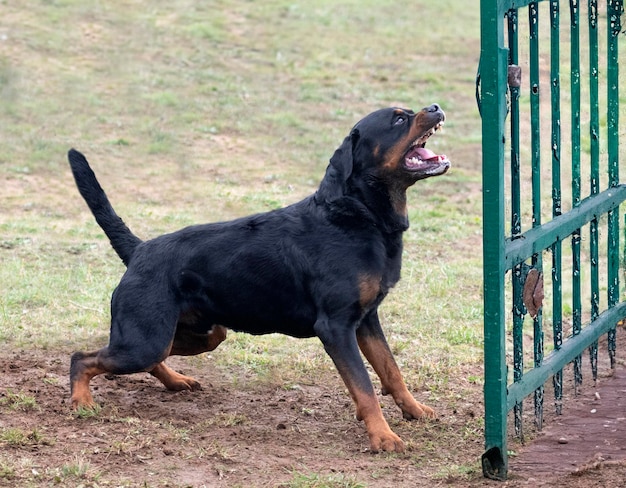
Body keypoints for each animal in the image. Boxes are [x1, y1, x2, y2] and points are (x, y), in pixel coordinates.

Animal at [67, 104, 448, 454]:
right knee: (82, 358)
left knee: (151, 358)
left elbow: (390, 370)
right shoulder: (337, 327)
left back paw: (176, 381)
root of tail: (139, 250)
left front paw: (414, 410)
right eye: (398, 119)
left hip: (199, 334)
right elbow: (366, 386)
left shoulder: (367, 320)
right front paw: (383, 437)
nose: (435, 107)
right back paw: (81, 402)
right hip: (146, 339)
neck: (358, 216)